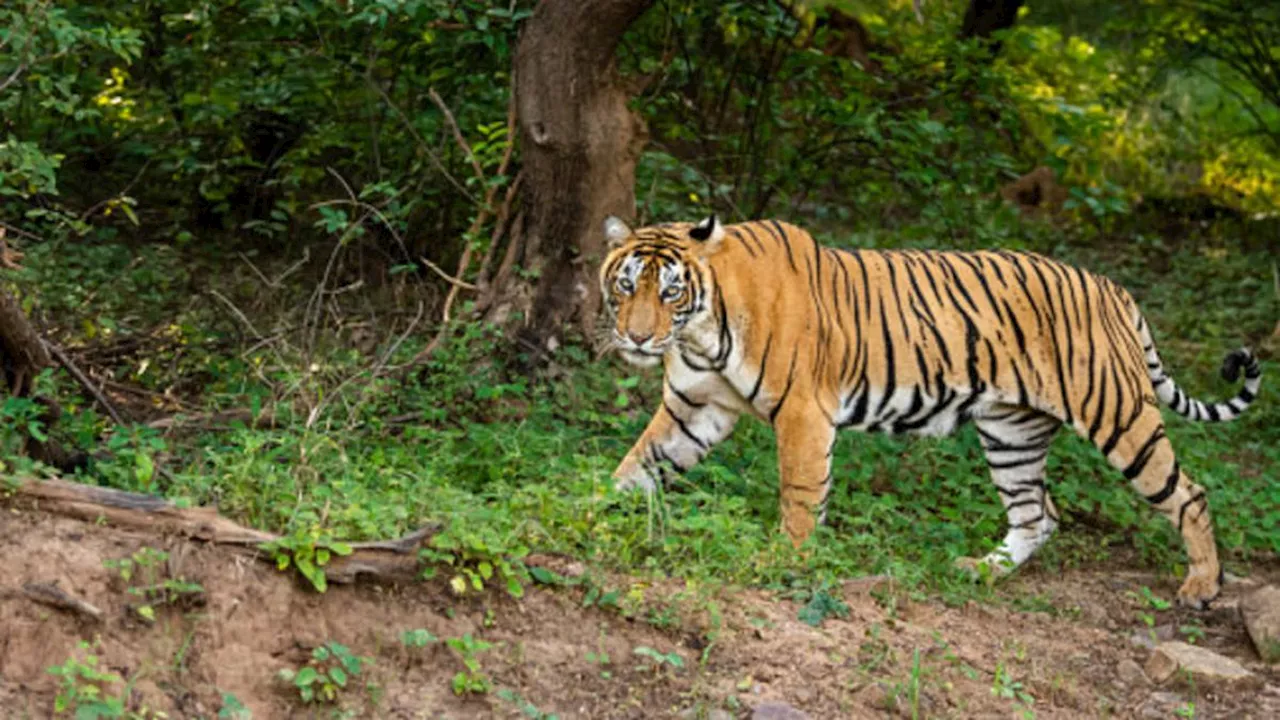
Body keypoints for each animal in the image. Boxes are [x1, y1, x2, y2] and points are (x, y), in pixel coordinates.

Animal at [596, 211, 1259, 604]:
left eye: (670, 291)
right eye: (626, 285)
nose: (636, 338)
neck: (700, 332)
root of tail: (1115, 290)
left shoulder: (804, 413)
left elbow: (799, 496)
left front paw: (785, 559)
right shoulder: (694, 408)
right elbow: (637, 468)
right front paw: (591, 514)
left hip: (1118, 416)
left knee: (1189, 494)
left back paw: (1203, 585)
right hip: (1012, 432)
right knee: (1038, 513)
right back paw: (981, 571)